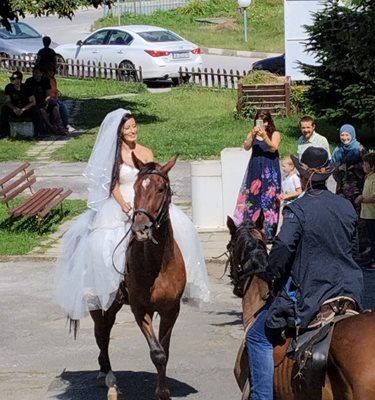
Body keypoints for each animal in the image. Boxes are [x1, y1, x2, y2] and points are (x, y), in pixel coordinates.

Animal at [90, 155, 187, 400]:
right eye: (135, 188)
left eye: (161, 189)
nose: (140, 229)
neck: (158, 266)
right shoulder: (141, 310)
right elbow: (157, 352)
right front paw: (161, 392)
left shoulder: (171, 310)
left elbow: (165, 350)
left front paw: (163, 391)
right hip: (96, 302)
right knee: (101, 333)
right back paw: (106, 375)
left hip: (114, 303)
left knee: (106, 327)